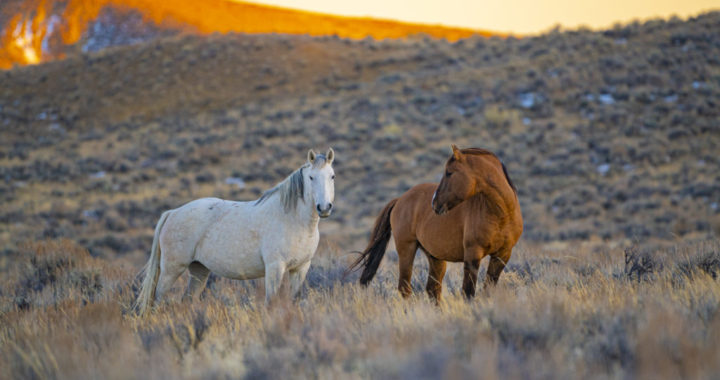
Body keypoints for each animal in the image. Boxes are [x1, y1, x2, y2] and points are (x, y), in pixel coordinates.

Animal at [135, 148, 334, 314]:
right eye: (311, 177)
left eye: (332, 176)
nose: (324, 208)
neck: (293, 220)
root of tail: (172, 213)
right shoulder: (275, 267)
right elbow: (271, 303)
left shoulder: (300, 268)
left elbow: (295, 301)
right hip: (171, 269)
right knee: (157, 300)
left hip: (199, 270)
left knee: (187, 300)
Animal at [350, 145, 524, 300]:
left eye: (449, 173)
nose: (435, 203)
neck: (501, 215)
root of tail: (400, 199)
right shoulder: (473, 255)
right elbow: (468, 293)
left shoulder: (502, 255)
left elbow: (487, 290)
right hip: (407, 250)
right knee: (405, 289)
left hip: (435, 258)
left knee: (432, 290)